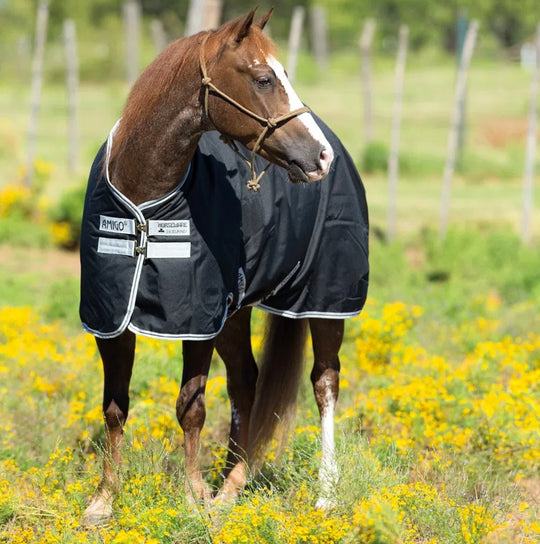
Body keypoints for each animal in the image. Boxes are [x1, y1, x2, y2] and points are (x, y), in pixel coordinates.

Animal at [79, 9, 368, 528]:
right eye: (264, 78)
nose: (320, 156)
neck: (144, 202)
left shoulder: (195, 323)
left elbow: (190, 407)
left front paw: (193, 498)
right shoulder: (111, 321)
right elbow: (114, 407)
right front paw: (103, 501)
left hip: (325, 302)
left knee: (325, 382)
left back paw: (325, 493)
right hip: (235, 312)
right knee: (245, 382)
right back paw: (231, 487)